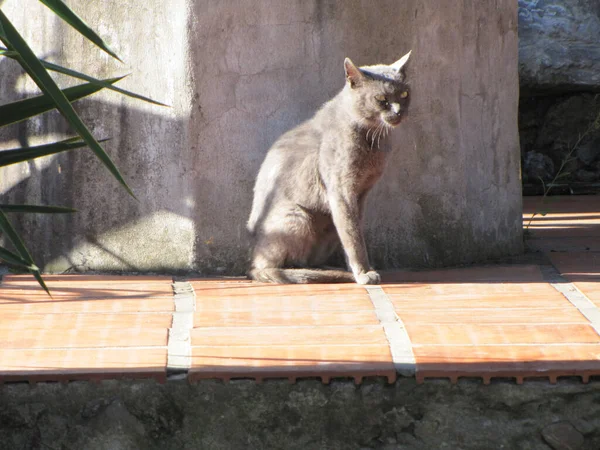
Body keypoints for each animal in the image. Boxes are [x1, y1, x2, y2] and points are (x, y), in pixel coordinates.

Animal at [246, 51, 410, 284]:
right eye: (381, 99)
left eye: (404, 94)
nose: (398, 112)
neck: (373, 139)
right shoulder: (341, 191)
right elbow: (353, 237)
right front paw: (363, 273)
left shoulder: (361, 194)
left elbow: (354, 231)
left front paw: (358, 270)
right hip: (296, 215)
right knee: (273, 267)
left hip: (326, 224)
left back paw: (327, 269)